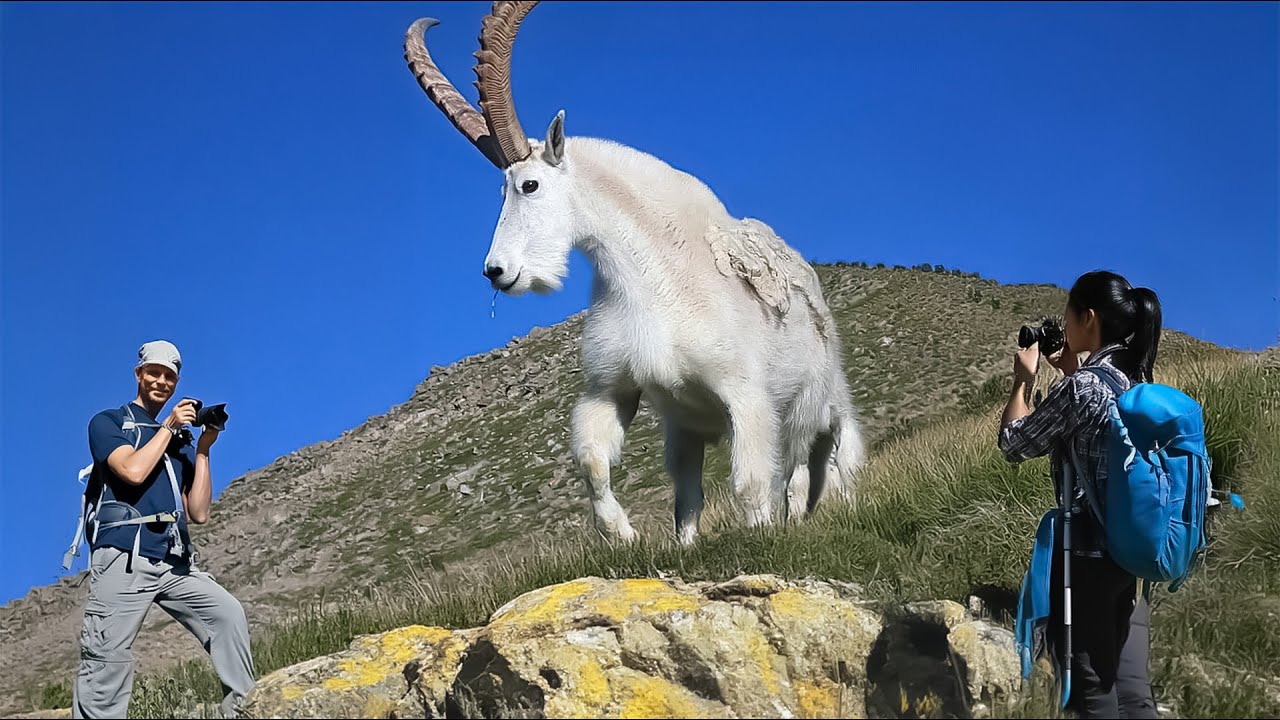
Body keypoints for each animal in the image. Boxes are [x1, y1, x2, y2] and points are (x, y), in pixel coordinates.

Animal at [404, 1, 866, 544]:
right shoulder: (612, 388)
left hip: (823, 405)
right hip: (689, 431)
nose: (497, 271)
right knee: (699, 491)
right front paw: (625, 536)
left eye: (530, 185)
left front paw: (761, 539)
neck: (654, 282)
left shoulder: (747, 398)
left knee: (824, 461)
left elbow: (752, 483)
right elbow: (593, 462)